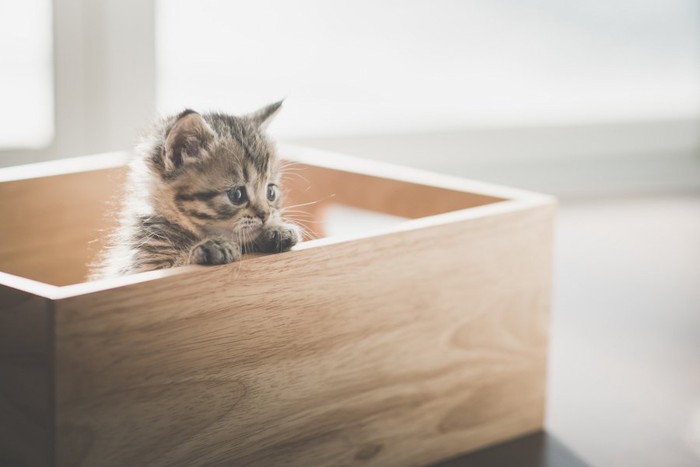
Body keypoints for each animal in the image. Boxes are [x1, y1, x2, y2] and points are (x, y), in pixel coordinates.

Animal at [90, 100, 298, 280]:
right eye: (236, 195)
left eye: (271, 192)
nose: (265, 215)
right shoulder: (142, 266)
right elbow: (180, 263)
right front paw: (210, 247)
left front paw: (277, 230)